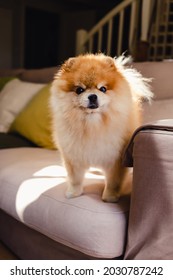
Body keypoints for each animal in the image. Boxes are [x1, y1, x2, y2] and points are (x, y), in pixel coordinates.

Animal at [50, 53, 153, 201]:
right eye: (79, 90)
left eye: (103, 89)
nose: (93, 96)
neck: (93, 124)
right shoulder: (73, 156)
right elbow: (75, 179)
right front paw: (74, 192)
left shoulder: (115, 159)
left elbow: (113, 181)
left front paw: (110, 196)